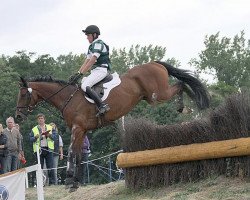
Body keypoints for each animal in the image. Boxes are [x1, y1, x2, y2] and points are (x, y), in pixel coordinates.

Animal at [15, 60, 210, 191]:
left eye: (23, 94)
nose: (17, 117)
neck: (68, 98)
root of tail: (154, 63)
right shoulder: (82, 130)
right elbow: (78, 155)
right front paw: (75, 182)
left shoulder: (77, 129)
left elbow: (71, 153)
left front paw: (69, 181)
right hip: (152, 96)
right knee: (181, 83)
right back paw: (189, 106)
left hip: (158, 95)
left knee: (180, 84)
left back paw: (187, 106)